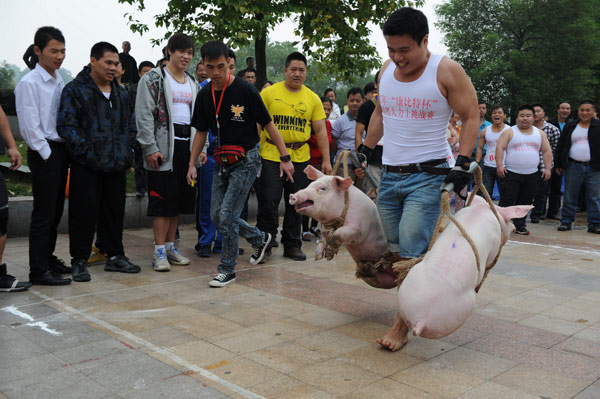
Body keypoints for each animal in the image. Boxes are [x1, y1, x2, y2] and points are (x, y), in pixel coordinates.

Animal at [378, 195, 532, 352]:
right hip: (464, 308)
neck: (482, 210)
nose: (514, 227)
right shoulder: (494, 249)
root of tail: (420, 319)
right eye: (509, 220)